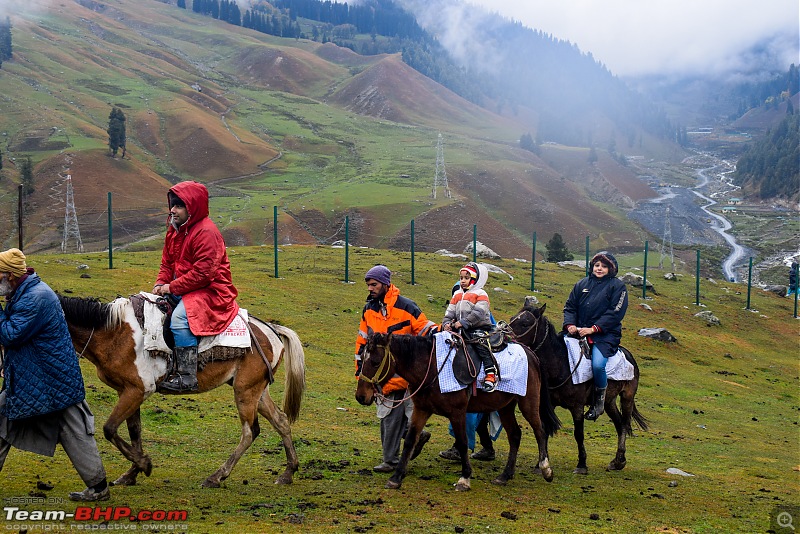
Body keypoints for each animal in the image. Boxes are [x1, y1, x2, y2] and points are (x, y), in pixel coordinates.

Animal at [57, 296, 306, 492]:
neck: (113, 333)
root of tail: (272, 329)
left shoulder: (137, 390)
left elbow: (109, 429)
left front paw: (144, 465)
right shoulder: (128, 391)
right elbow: (134, 432)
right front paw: (132, 473)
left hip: (245, 391)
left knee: (248, 432)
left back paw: (216, 477)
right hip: (257, 390)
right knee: (281, 421)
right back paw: (288, 473)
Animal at [354, 336, 560, 494]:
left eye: (375, 362)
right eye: (361, 359)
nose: (361, 396)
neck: (431, 367)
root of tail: (530, 353)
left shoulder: (458, 412)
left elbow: (462, 442)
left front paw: (465, 478)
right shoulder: (421, 410)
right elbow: (411, 440)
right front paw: (396, 477)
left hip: (528, 402)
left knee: (540, 430)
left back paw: (546, 469)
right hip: (505, 406)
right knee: (515, 435)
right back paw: (504, 476)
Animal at [510, 300, 648, 476]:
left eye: (525, 323)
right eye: (512, 318)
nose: (504, 336)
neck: (561, 363)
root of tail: (628, 355)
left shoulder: (577, 407)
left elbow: (579, 434)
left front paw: (582, 464)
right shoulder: (549, 405)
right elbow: (545, 429)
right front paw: (540, 464)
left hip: (627, 397)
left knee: (624, 424)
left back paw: (620, 460)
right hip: (609, 401)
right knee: (618, 424)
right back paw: (617, 461)